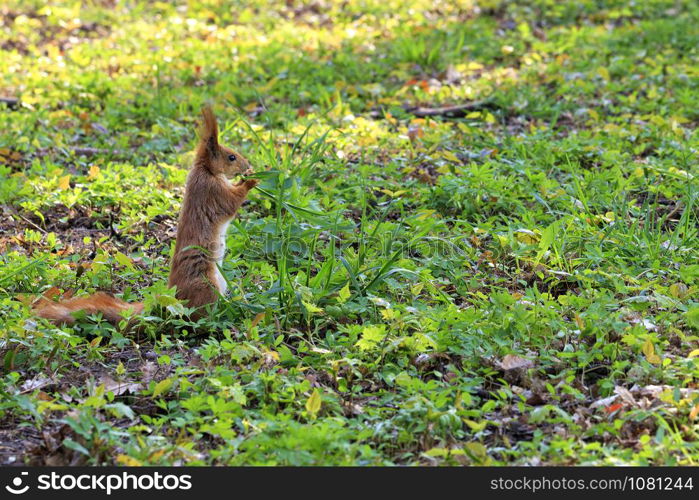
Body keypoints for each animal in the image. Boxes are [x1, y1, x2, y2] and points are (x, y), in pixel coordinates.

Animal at [32, 106, 258, 324]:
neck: (206, 170)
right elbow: (230, 204)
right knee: (196, 316)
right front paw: (251, 180)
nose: (248, 165)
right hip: (205, 285)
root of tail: (175, 298)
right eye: (231, 157)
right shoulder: (211, 191)